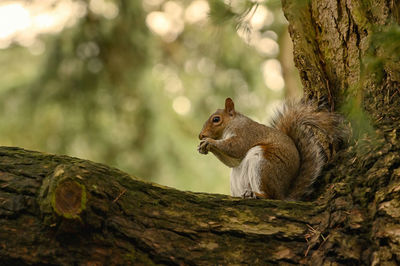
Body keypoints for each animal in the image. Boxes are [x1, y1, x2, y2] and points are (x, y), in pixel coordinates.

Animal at [198, 97, 346, 200]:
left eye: (216, 119)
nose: (201, 135)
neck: (233, 123)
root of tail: (282, 194)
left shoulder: (246, 133)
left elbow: (236, 148)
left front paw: (209, 142)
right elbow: (233, 160)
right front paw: (203, 146)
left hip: (264, 165)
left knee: (270, 196)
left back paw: (257, 194)